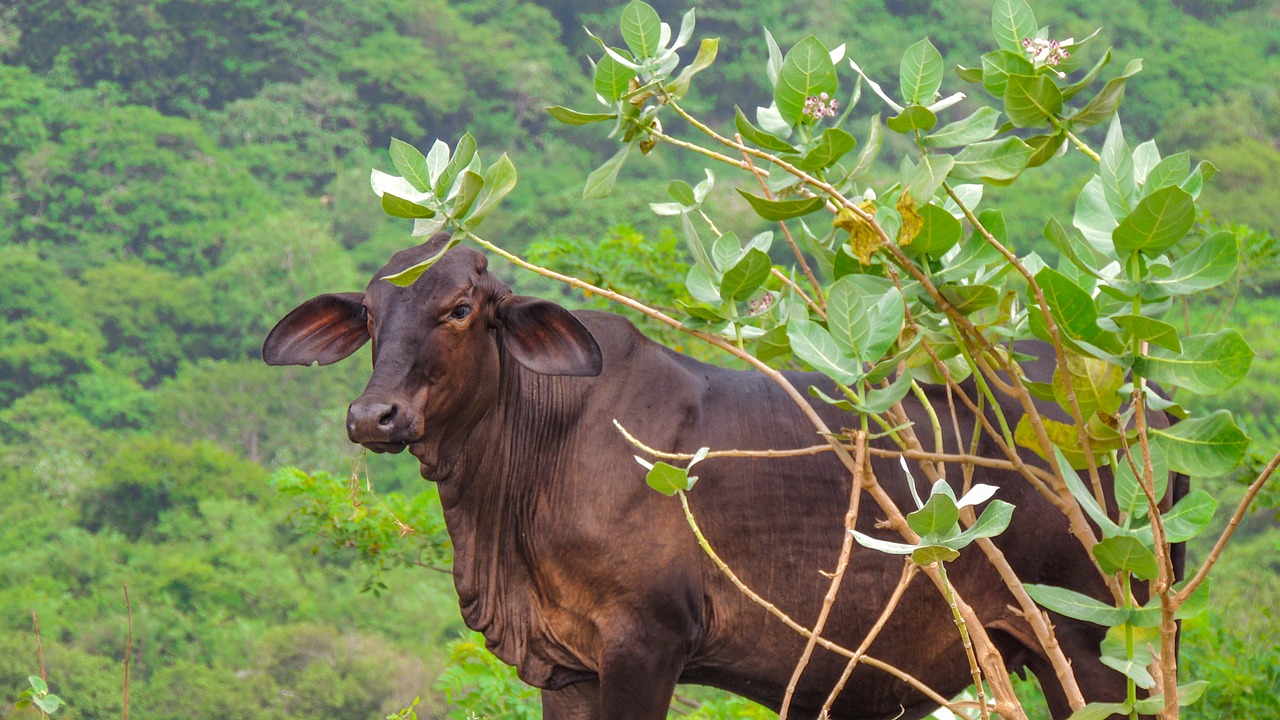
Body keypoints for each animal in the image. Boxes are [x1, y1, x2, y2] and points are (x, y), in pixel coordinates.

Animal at [263, 234, 1180, 719]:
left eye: (459, 309)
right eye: (371, 316)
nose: (373, 417)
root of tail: (1140, 404)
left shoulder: (647, 642)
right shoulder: (565, 666)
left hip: (1098, 638)